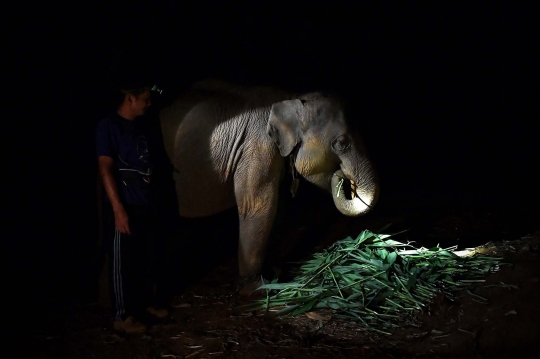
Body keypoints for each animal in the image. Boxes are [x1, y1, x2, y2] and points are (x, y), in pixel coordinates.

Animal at [159, 79, 380, 296]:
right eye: (342, 143)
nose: (342, 176)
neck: (291, 99)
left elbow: (278, 208)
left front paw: (275, 275)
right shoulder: (258, 147)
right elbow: (259, 207)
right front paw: (256, 289)